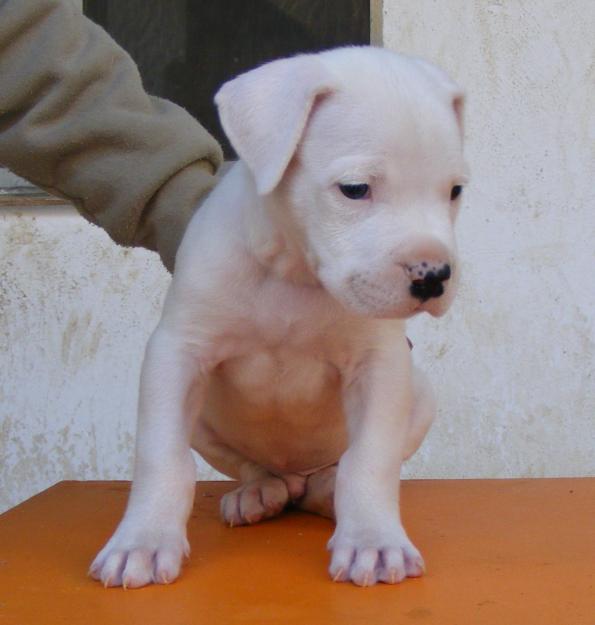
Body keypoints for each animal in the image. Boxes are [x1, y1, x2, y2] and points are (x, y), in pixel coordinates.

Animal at [91, 46, 468, 588]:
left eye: (455, 191)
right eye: (355, 189)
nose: (434, 276)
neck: (294, 274)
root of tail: (298, 479)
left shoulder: (380, 366)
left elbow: (370, 459)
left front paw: (373, 540)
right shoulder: (177, 354)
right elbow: (162, 457)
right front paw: (141, 541)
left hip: (420, 397)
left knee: (337, 469)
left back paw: (325, 491)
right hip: (205, 420)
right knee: (259, 470)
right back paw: (260, 492)